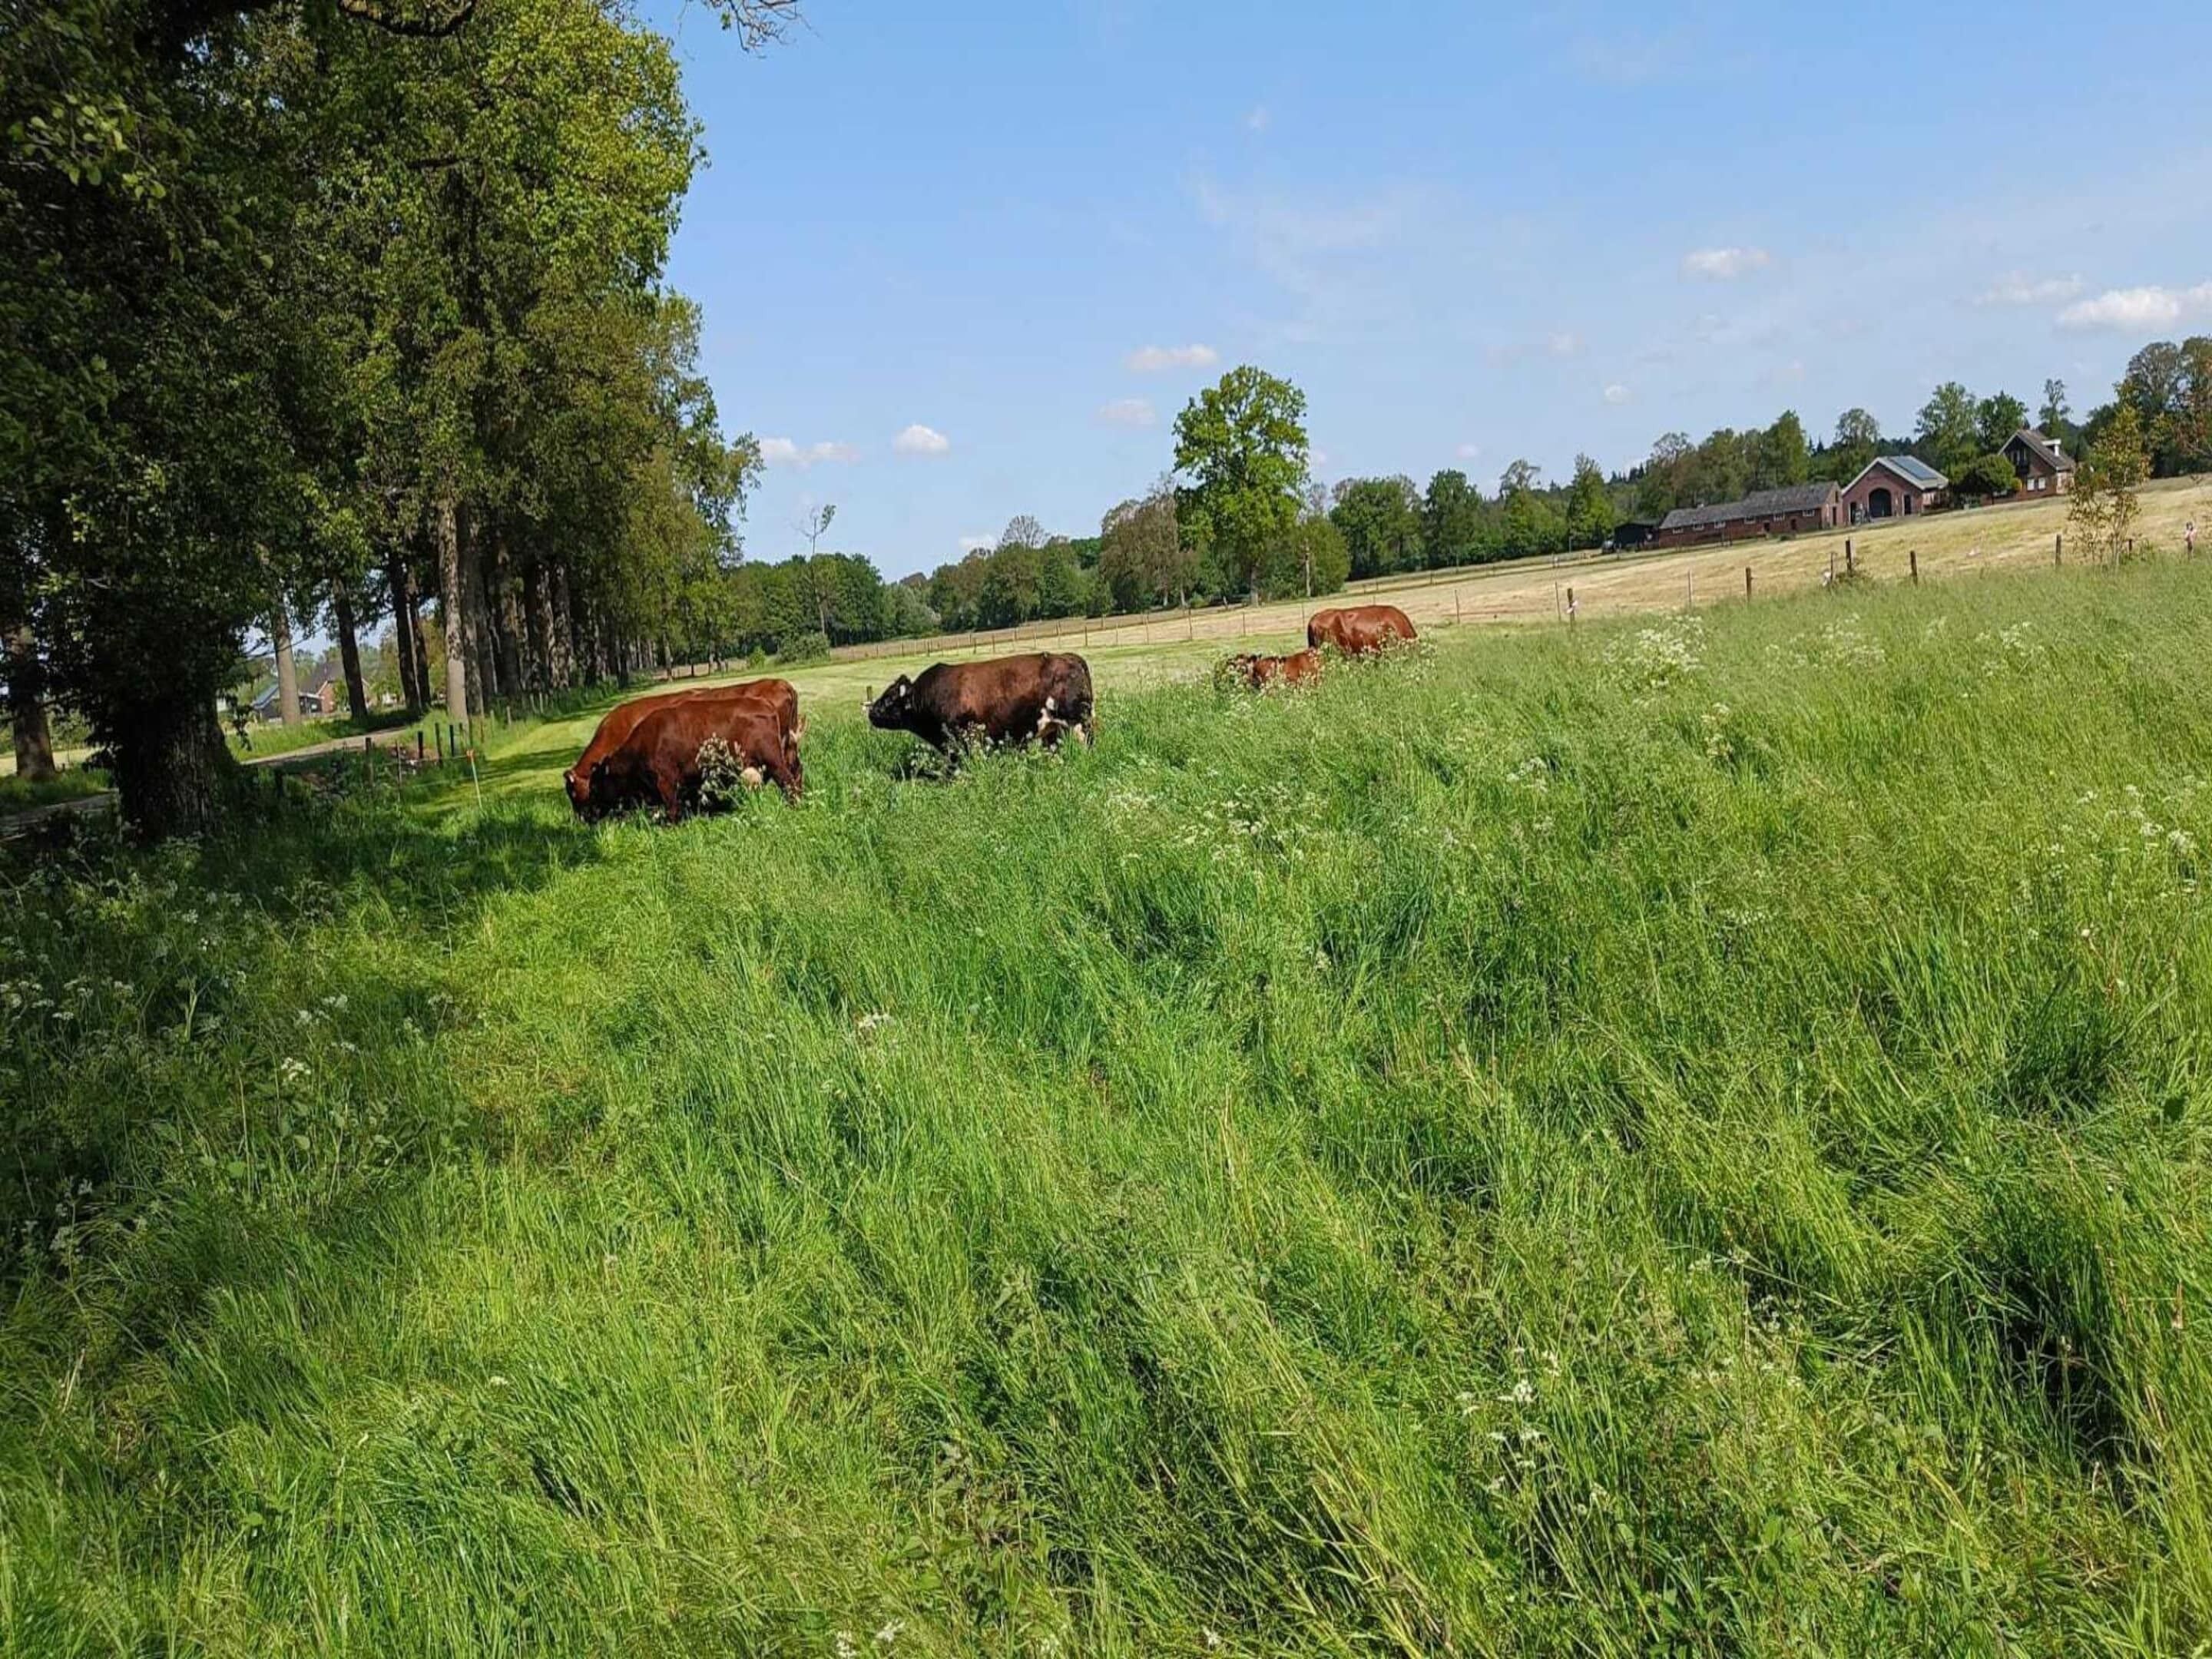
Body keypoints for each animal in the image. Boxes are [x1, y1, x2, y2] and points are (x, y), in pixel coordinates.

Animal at [865, 652, 1094, 755]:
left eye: (889, 698)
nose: (871, 712)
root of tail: (1068, 657)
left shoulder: (964, 739)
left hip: (1079, 724)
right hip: (1053, 730)